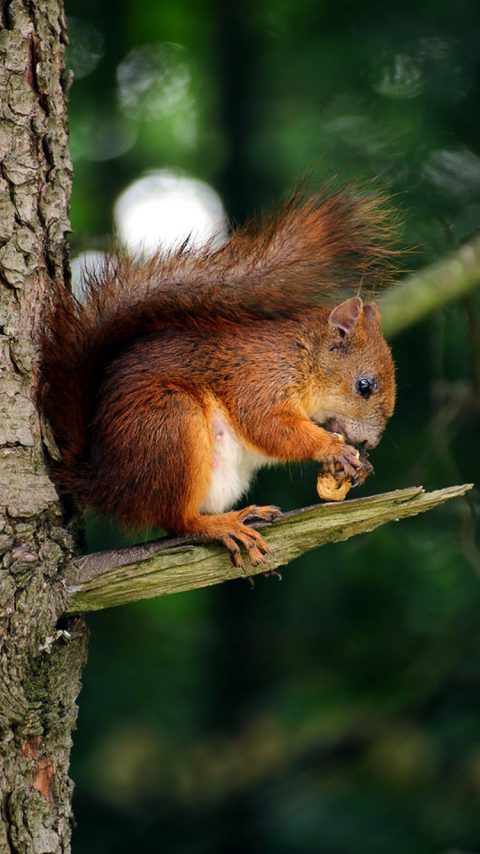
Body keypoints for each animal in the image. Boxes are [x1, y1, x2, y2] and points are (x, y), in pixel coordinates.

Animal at [38, 191, 398, 572]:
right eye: (364, 386)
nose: (371, 442)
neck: (301, 357)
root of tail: (107, 483)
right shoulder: (258, 379)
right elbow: (268, 425)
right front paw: (333, 448)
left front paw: (361, 465)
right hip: (170, 423)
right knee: (178, 521)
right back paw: (222, 524)